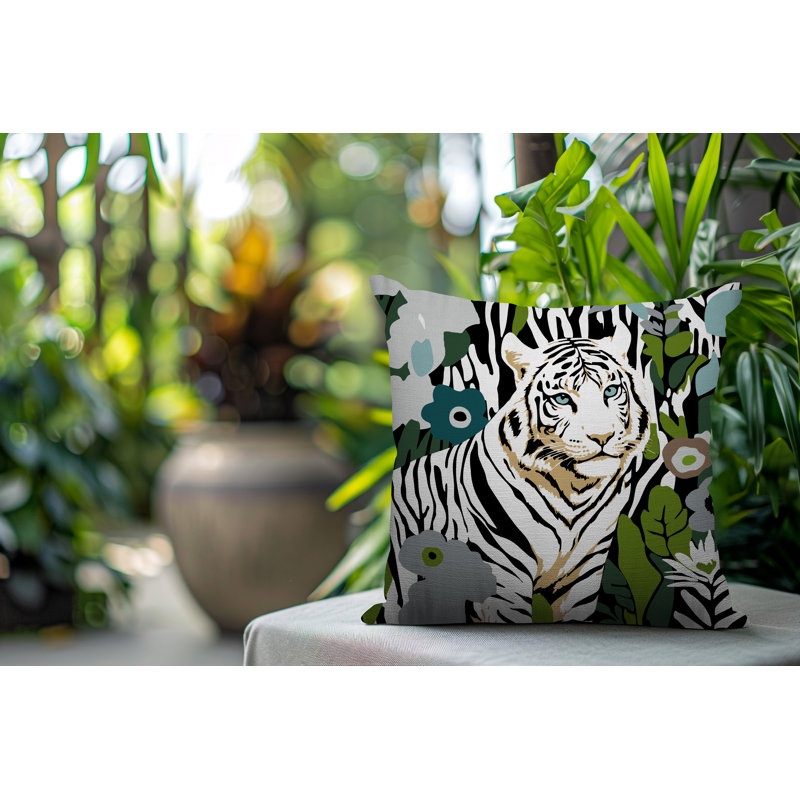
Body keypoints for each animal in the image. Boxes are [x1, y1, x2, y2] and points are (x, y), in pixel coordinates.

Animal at [386, 331, 653, 624]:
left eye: (611, 391)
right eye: (562, 399)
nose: (602, 437)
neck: (576, 490)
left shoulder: (584, 573)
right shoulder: (502, 577)